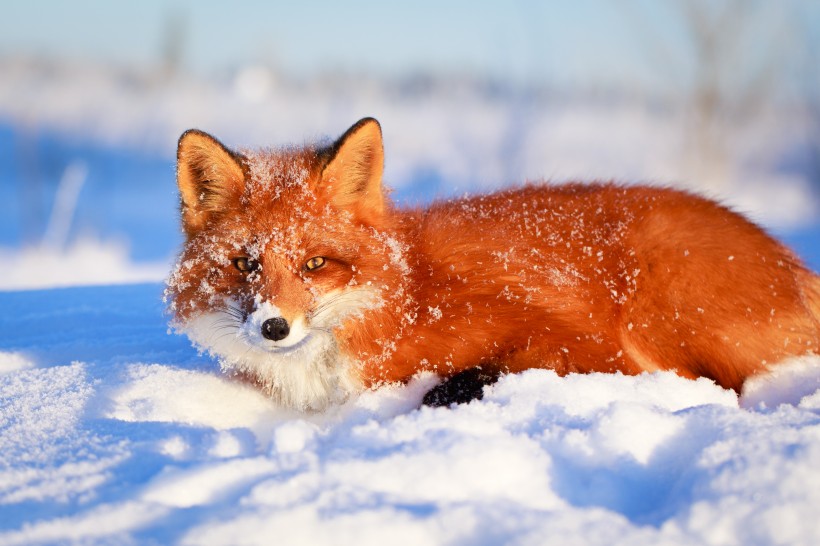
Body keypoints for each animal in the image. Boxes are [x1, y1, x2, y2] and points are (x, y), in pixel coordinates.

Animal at [167, 119, 820, 408]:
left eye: (315, 263)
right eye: (245, 264)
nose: (273, 327)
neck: (408, 298)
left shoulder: (586, 344)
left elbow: (483, 373)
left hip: (665, 312)